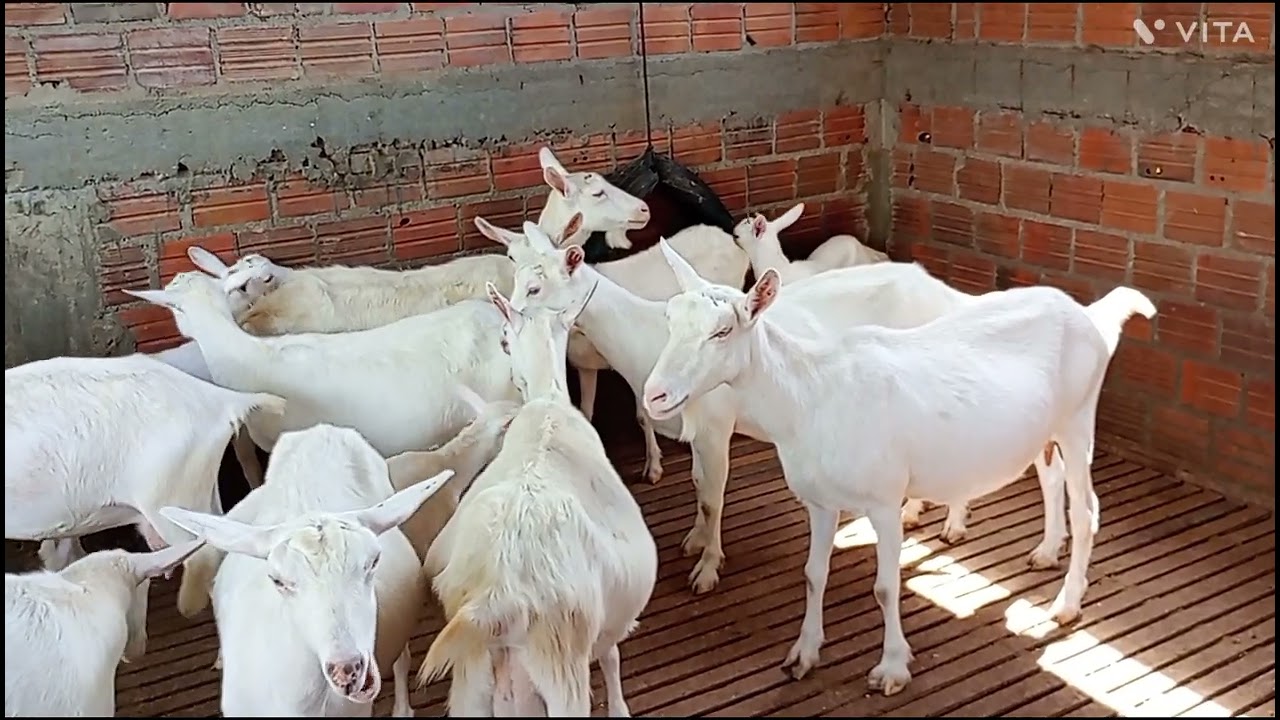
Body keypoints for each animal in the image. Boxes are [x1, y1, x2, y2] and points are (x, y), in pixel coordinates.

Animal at [419, 263, 657, 717]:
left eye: (505, 339)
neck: (548, 401)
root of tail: (498, 597)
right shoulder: (610, 622)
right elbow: (612, 656)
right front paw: (620, 705)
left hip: (471, 686)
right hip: (562, 676)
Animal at [473, 212, 750, 482]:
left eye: (534, 289)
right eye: (511, 258)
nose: (504, 336)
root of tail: (727, 238)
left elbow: (643, 416)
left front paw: (653, 467)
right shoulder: (585, 364)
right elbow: (587, 410)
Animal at [641, 239, 1156, 694]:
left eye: (722, 331)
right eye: (669, 318)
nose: (655, 395)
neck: (811, 395)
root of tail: (1090, 317)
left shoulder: (884, 499)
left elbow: (886, 587)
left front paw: (892, 668)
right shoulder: (820, 501)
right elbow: (813, 574)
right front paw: (803, 654)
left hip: (1078, 418)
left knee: (1086, 509)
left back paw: (1066, 604)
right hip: (1041, 429)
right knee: (1050, 477)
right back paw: (1047, 551)